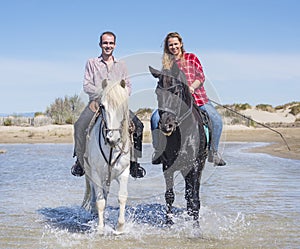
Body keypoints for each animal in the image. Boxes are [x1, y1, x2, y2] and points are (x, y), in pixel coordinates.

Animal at [81, 79, 131, 233]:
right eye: (102, 106)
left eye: (123, 105)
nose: (112, 139)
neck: (111, 149)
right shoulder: (96, 174)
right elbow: (100, 202)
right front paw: (100, 228)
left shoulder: (124, 172)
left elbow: (122, 196)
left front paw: (120, 227)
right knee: (95, 198)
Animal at [149, 63, 207, 226]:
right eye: (157, 93)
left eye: (176, 92)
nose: (166, 125)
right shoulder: (167, 166)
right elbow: (169, 195)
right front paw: (169, 223)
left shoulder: (194, 166)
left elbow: (194, 199)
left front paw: (196, 227)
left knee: (193, 194)